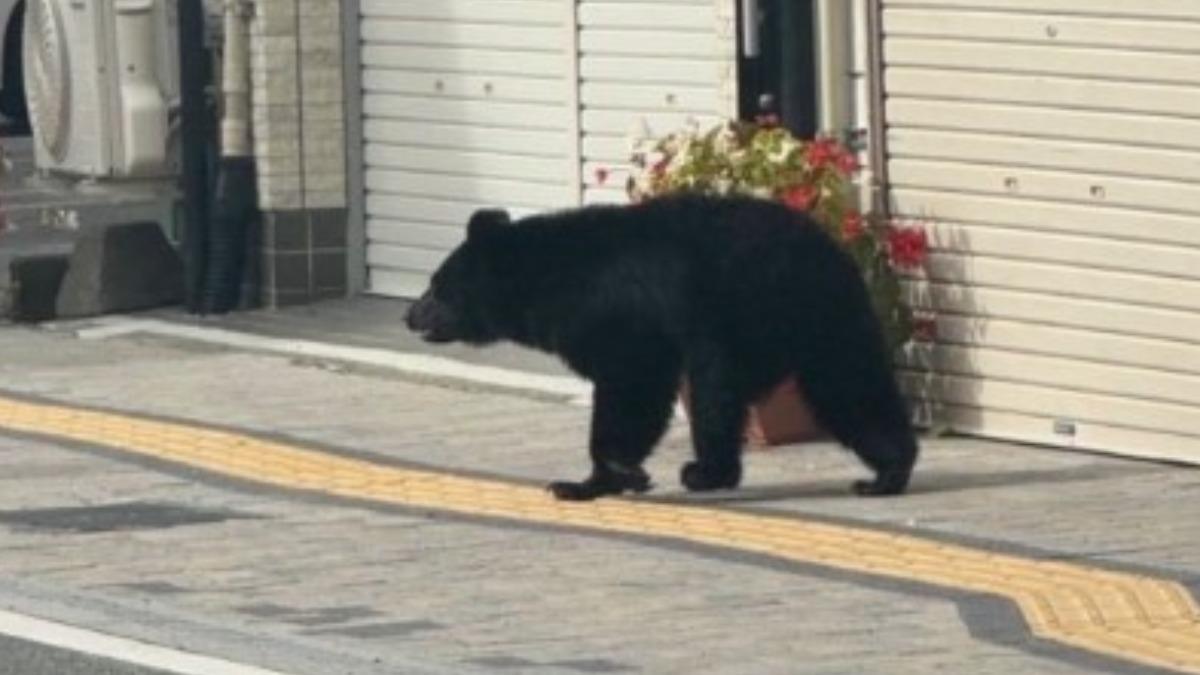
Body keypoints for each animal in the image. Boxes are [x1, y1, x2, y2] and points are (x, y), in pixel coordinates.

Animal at [405, 194, 918, 501]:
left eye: (437, 286)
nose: (410, 315)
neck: (548, 282)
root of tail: (822, 248)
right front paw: (596, 479)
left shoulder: (618, 317)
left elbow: (632, 385)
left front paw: (603, 475)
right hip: (826, 318)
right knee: (848, 382)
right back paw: (887, 471)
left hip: (740, 315)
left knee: (718, 392)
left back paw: (705, 472)